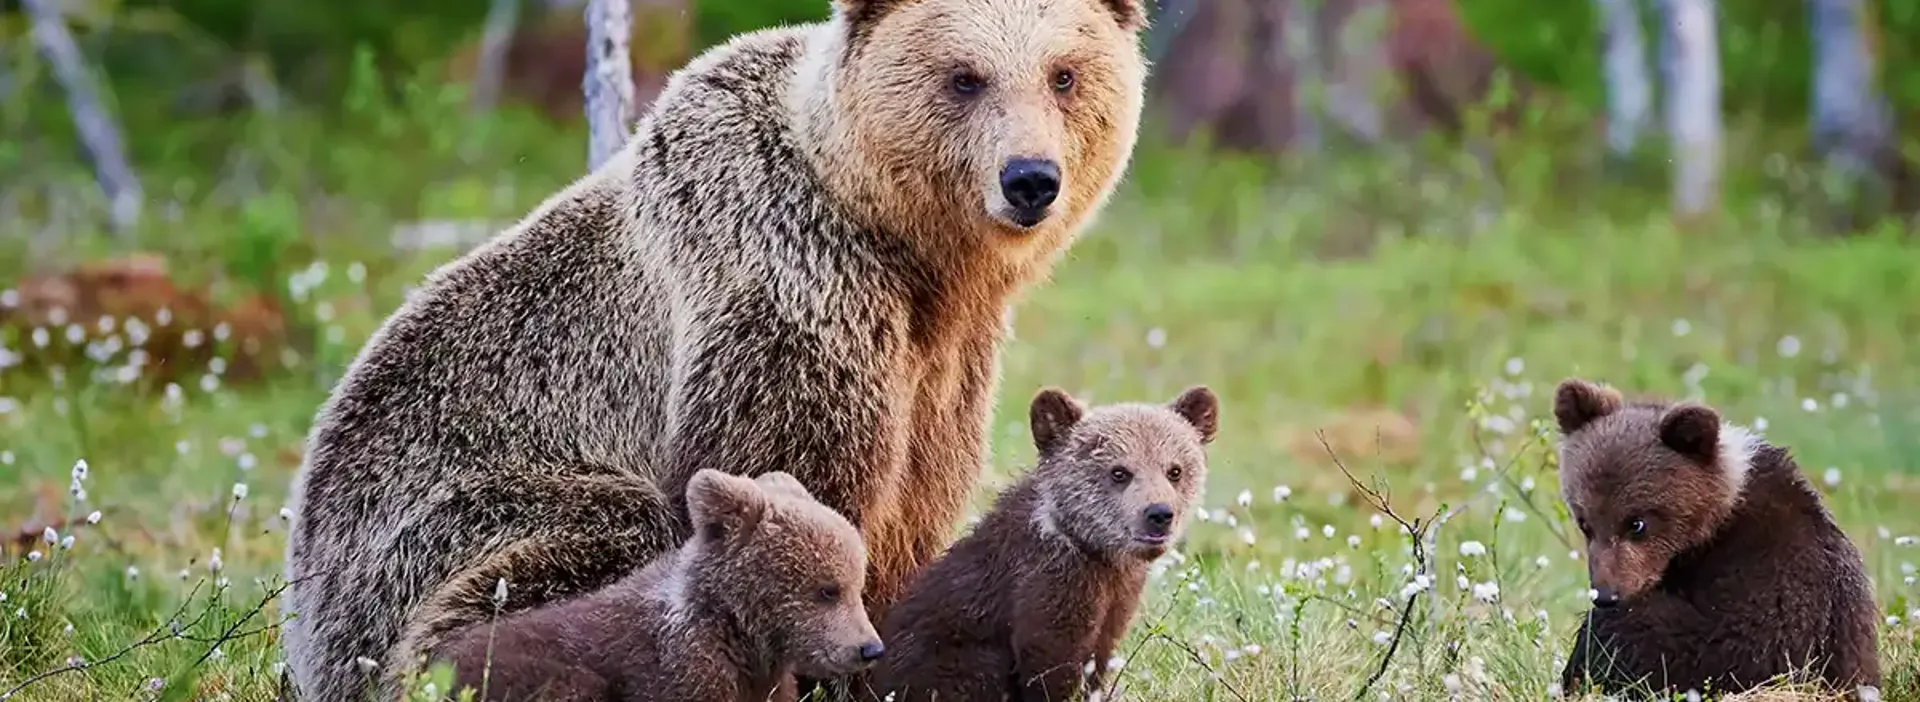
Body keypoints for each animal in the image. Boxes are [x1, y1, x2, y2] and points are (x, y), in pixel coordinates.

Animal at [867, 386, 1218, 702]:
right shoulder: (1050, 586)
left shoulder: (1117, 599)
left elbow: (1098, 658)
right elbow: (1049, 664)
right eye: (1119, 472)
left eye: (1174, 470)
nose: (1159, 514)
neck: (1095, 552)